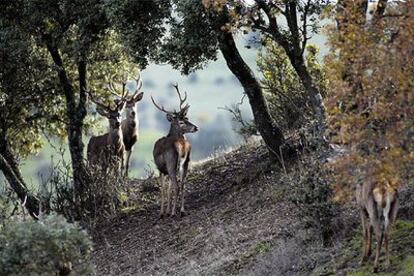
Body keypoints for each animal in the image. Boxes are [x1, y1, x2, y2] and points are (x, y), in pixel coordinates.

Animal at [151, 83, 198, 217]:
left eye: (187, 118)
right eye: (183, 120)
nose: (195, 127)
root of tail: (181, 145)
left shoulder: (160, 169)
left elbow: (164, 189)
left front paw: (162, 212)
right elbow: (169, 188)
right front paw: (167, 210)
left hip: (171, 163)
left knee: (177, 186)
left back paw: (172, 213)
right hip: (186, 162)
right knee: (183, 185)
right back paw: (181, 210)